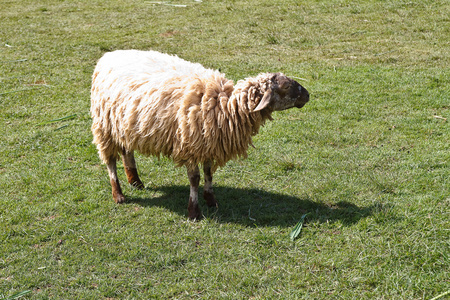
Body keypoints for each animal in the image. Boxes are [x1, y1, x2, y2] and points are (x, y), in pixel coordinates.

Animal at [91, 50, 310, 219]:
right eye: (285, 87)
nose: (307, 95)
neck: (225, 105)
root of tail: (108, 55)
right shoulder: (189, 144)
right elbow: (195, 178)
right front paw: (194, 211)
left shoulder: (209, 141)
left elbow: (209, 172)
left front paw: (211, 200)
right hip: (104, 126)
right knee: (110, 161)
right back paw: (118, 194)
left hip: (123, 125)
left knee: (127, 151)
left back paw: (135, 181)